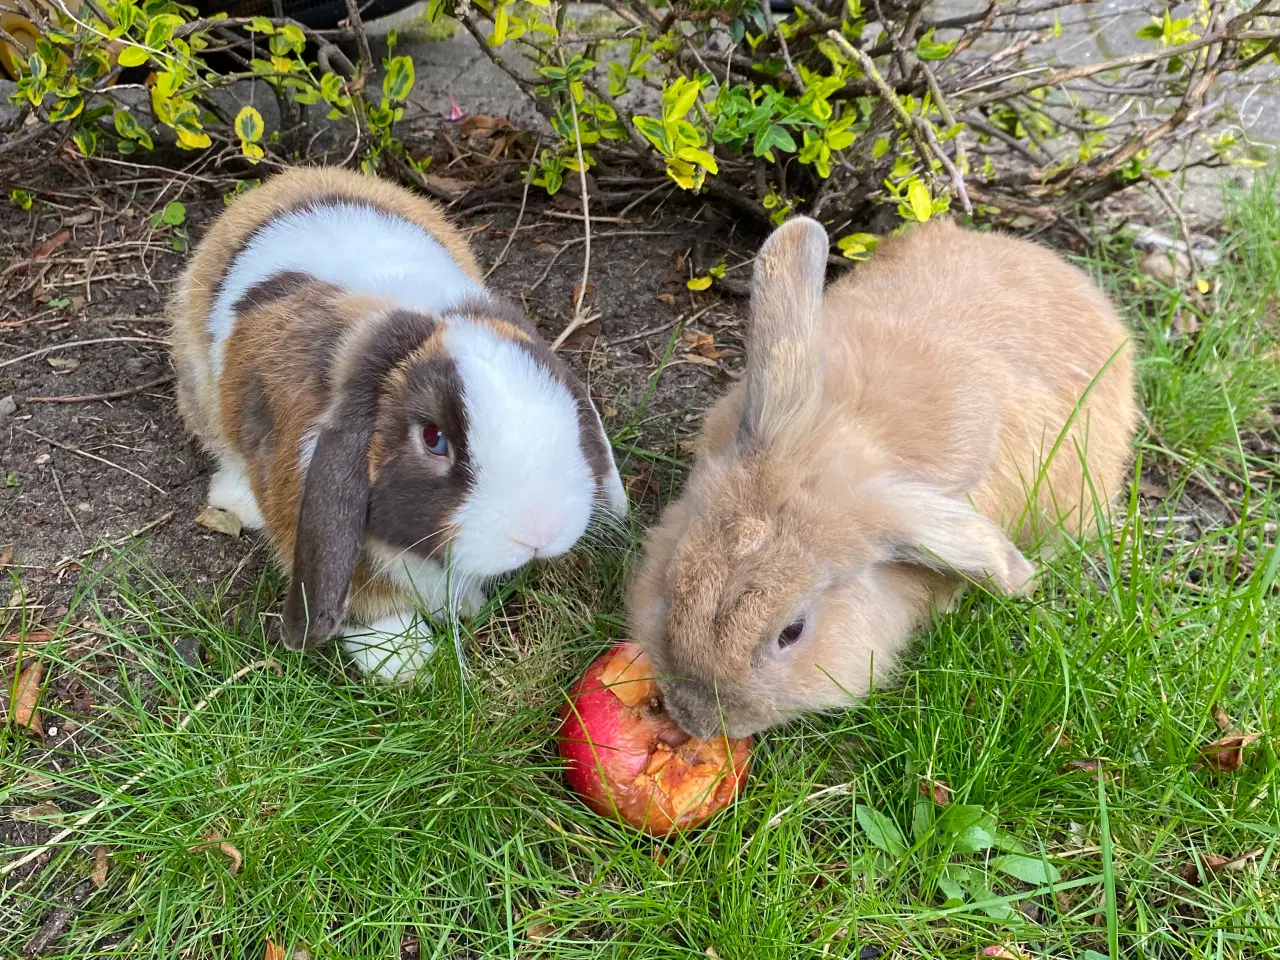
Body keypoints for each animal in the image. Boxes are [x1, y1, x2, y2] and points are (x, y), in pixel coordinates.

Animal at [172, 168, 627, 686]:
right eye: (433, 439)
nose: (540, 533)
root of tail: (297, 177)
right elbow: (371, 607)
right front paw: (406, 662)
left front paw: (463, 607)